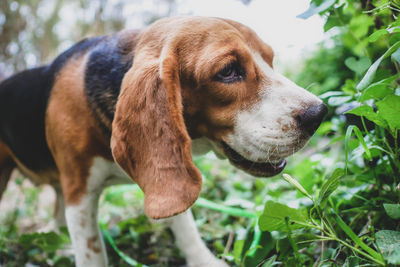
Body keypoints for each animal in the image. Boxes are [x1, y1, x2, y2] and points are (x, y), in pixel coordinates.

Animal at [0, 17, 326, 267]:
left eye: (269, 59)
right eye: (228, 71)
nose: (319, 114)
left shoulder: (169, 178)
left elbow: (185, 224)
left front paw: (204, 261)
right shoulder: (79, 195)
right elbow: (92, 252)